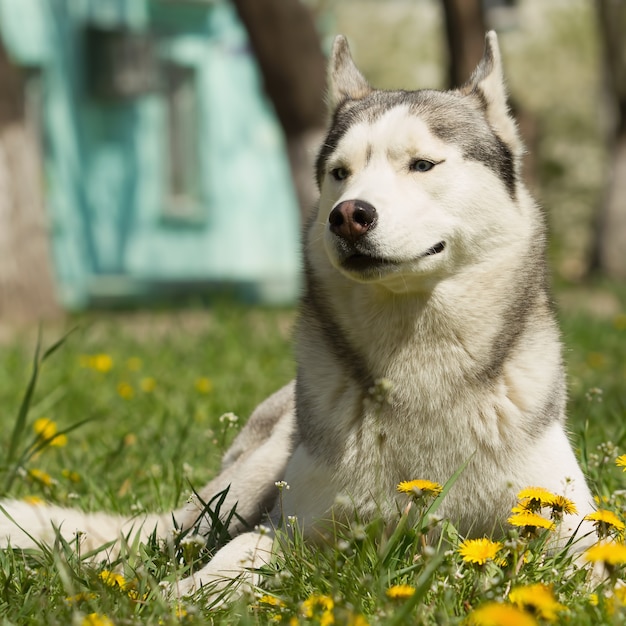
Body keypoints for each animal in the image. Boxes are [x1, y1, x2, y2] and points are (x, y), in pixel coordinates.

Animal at [0, 29, 596, 596]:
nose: (348, 215)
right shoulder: (292, 528)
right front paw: (190, 593)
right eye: (339, 172)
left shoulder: (574, 529)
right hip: (240, 487)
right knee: (164, 537)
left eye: (423, 165)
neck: (417, 359)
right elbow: (238, 555)